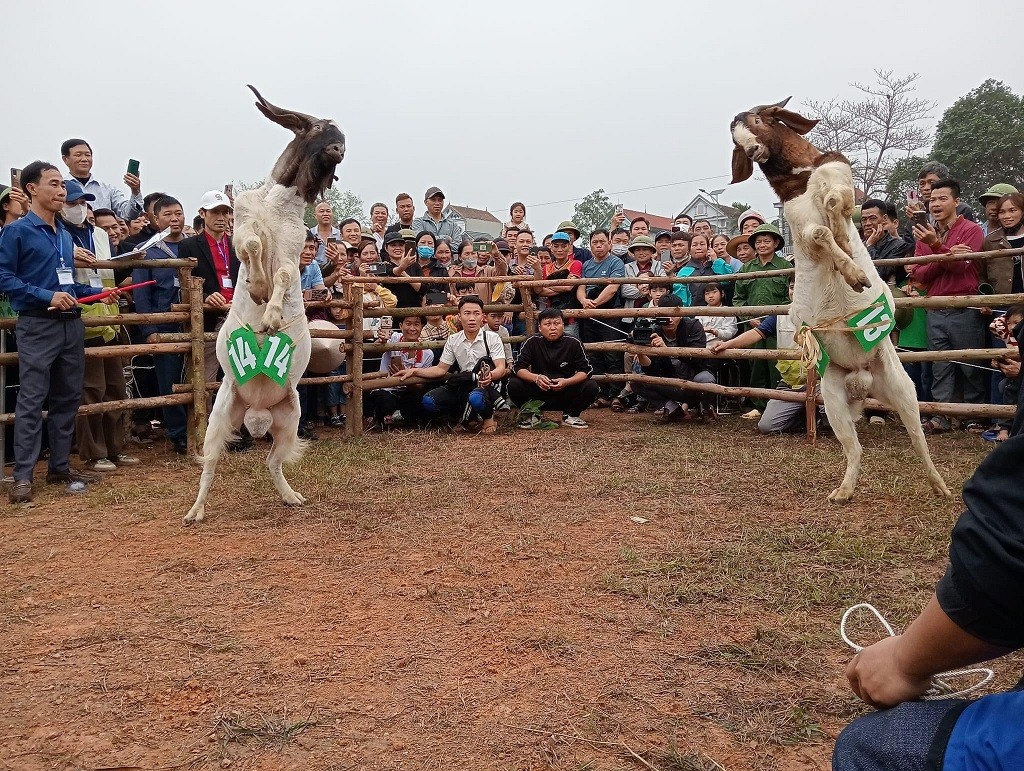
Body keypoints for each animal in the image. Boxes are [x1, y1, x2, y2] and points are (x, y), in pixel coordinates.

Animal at [183, 87, 344, 528]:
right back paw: (195, 512)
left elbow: (285, 273)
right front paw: (255, 288)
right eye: (317, 128)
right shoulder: (240, 227)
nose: (339, 150)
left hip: (290, 417)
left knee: (273, 461)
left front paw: (271, 314)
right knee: (210, 464)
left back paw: (291, 496)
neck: (278, 202)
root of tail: (255, 412)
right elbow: (252, 244)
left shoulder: (292, 248)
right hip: (220, 416)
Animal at [729, 97, 950, 505]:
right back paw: (844, 491)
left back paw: (939, 485)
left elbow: (835, 202)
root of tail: (862, 381)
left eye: (757, 121)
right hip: (832, 400)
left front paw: (852, 256)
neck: (801, 176)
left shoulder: (839, 178)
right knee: (855, 448)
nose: (752, 151)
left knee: (918, 439)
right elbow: (818, 232)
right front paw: (852, 272)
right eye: (735, 138)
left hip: (903, 390)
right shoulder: (799, 220)